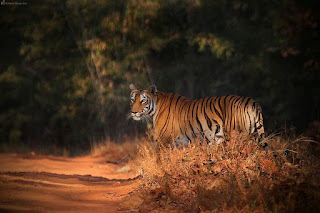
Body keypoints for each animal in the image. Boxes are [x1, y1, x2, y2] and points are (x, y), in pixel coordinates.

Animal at [129, 84, 268, 151]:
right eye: (132, 100)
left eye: (143, 101)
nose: (133, 112)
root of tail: (252, 102)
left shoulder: (163, 140)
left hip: (239, 137)